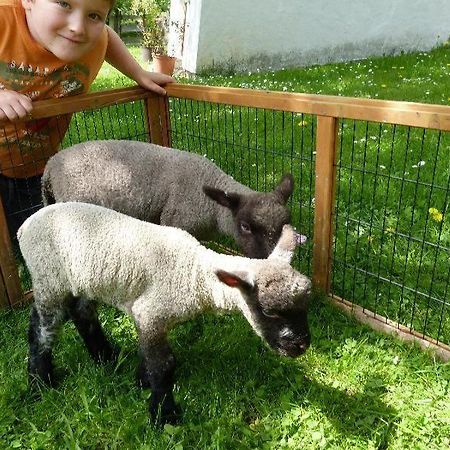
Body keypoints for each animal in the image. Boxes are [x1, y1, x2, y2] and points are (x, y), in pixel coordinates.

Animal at [18, 202, 312, 424]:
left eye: (306, 304)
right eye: (268, 311)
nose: (301, 345)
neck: (193, 273)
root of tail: (25, 225)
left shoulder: (147, 316)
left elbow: (148, 356)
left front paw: (141, 381)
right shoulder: (151, 313)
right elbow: (164, 364)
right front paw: (163, 415)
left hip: (79, 279)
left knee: (82, 313)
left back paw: (106, 357)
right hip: (48, 278)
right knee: (41, 330)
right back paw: (40, 384)